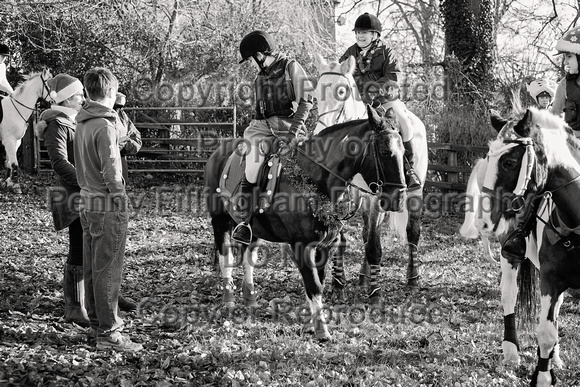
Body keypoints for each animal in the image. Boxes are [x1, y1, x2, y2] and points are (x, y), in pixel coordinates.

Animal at [476, 107, 580, 386]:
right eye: (489, 157)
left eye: (509, 162)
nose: (483, 221)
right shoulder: (550, 278)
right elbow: (545, 332)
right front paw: (543, 376)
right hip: (510, 255)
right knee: (509, 294)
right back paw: (511, 350)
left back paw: (555, 357)